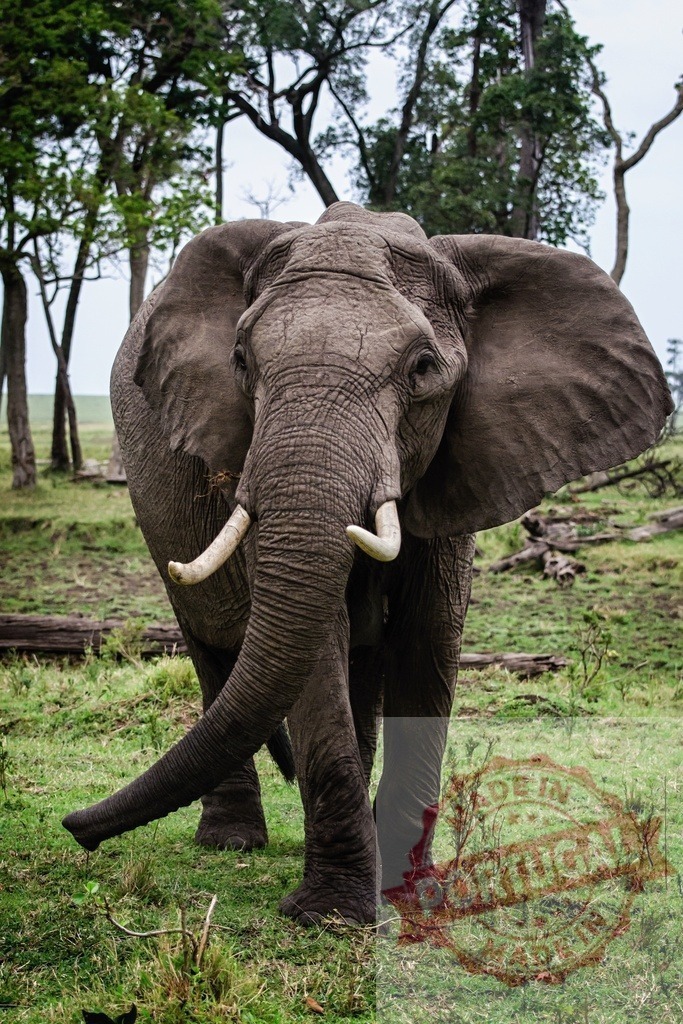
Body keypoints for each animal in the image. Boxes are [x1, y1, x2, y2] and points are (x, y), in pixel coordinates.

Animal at [63, 201, 672, 924]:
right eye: (240, 360)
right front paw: (331, 914)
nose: (77, 829)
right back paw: (232, 841)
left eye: (422, 368)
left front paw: (412, 898)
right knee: (210, 646)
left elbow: (428, 640)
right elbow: (317, 643)